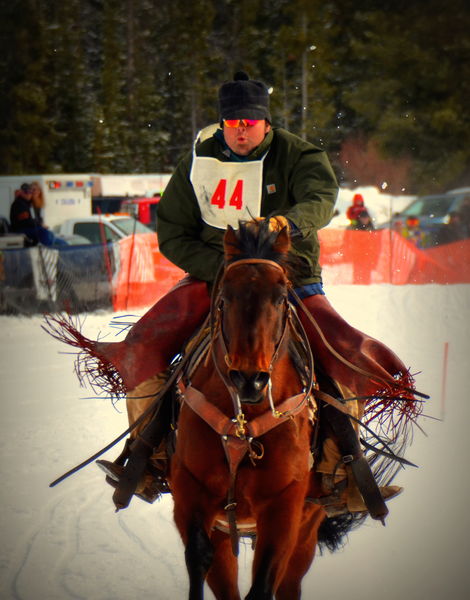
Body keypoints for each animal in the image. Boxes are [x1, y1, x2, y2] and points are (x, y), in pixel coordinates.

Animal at [169, 220, 326, 600]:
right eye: (224, 298)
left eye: (282, 298)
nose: (249, 380)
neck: (243, 424)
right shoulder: (188, 489)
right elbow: (197, 556)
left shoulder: (284, 508)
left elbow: (264, 582)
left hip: (307, 529)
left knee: (288, 584)